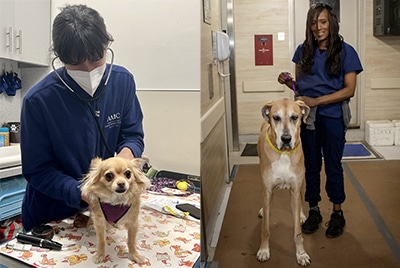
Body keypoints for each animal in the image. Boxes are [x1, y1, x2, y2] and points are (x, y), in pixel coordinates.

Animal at [256, 98, 312, 266]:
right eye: (276, 117)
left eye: (295, 117)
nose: (286, 139)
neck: (284, 154)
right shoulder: (267, 189)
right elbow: (265, 229)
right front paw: (264, 250)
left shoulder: (294, 189)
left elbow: (297, 232)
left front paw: (301, 254)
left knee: (300, 196)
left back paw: (301, 214)